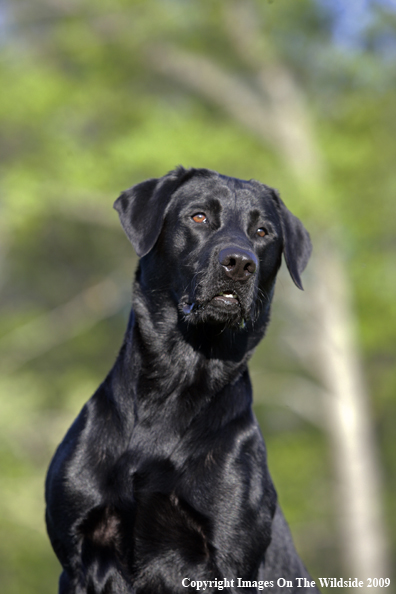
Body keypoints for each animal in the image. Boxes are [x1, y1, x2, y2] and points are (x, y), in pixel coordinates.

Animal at [45, 166, 318, 592]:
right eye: (199, 217)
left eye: (262, 231)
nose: (240, 263)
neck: (175, 383)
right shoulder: (77, 556)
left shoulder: (228, 559)